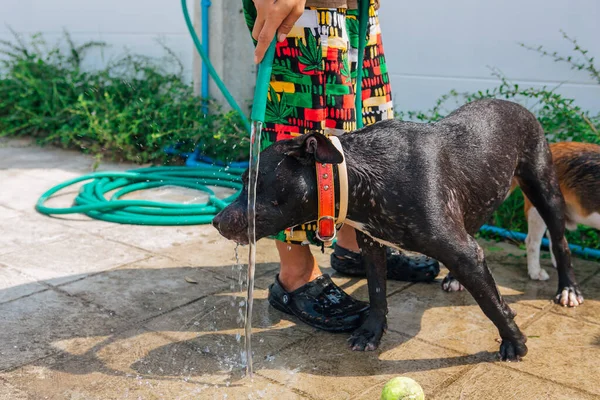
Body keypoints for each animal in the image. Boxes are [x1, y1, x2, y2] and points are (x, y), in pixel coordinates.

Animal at [211, 98, 580, 360]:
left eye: (251, 181)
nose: (215, 221)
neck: (352, 175)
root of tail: (516, 105)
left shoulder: (458, 248)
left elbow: (491, 303)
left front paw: (514, 341)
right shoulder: (371, 243)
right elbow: (377, 292)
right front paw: (371, 332)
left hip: (544, 188)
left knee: (560, 242)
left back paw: (569, 289)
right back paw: (456, 278)